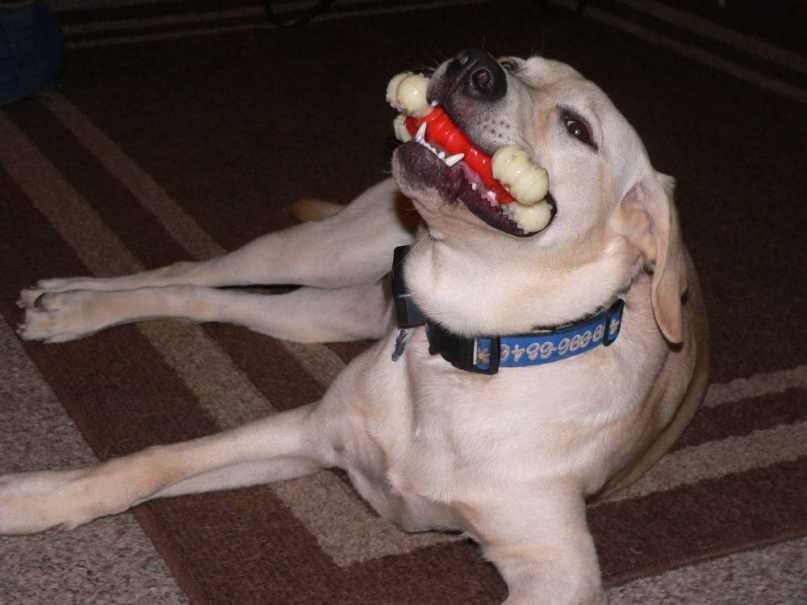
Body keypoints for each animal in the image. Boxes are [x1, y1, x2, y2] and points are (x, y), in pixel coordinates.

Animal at [3, 49, 708, 604]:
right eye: (514, 62)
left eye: (577, 127)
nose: (474, 66)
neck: (467, 340)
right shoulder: (307, 428)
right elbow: (143, 466)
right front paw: (29, 501)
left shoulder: (557, 570)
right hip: (322, 250)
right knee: (190, 271)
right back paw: (67, 304)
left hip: (319, 311)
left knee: (211, 298)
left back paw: (64, 306)